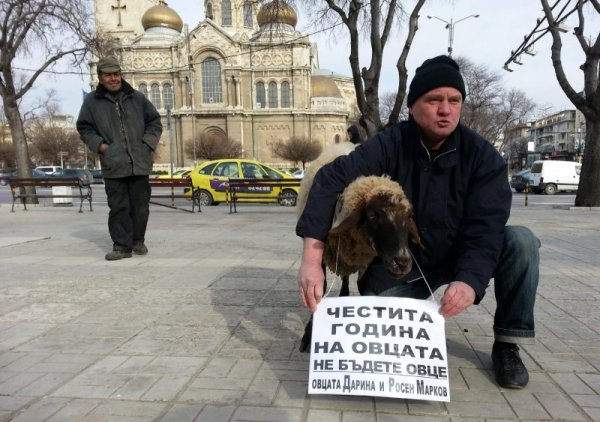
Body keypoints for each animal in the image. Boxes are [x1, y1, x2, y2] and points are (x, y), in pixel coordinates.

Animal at [296, 143, 420, 352]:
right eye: (372, 215)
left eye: (409, 215)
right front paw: (308, 334)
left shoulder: (365, 261)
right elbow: (319, 289)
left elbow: (363, 287)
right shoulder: (321, 255)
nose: (402, 262)